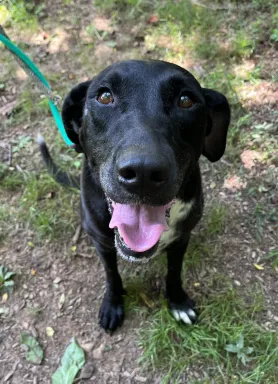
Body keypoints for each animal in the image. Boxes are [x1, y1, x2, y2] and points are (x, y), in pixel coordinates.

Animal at [39, 59, 230, 330]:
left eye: (186, 100)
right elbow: (111, 274)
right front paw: (112, 304)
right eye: (105, 96)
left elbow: (174, 271)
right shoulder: (103, 243)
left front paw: (178, 301)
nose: (143, 172)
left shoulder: (182, 238)